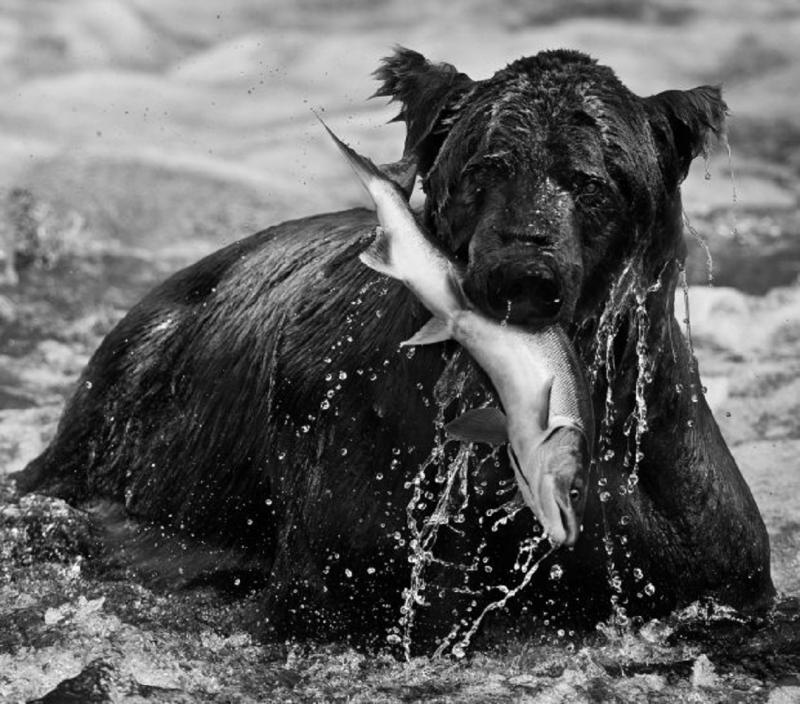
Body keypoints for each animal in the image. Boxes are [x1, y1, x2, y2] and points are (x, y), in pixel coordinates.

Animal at [15, 46, 772, 652]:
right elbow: (354, 584)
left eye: (592, 181)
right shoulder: (362, 463)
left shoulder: (676, 521)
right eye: (488, 166)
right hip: (125, 435)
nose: (522, 269)